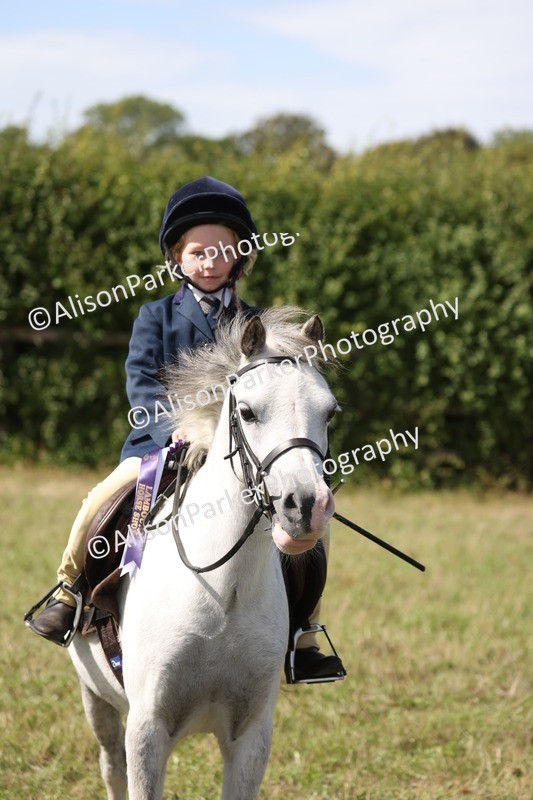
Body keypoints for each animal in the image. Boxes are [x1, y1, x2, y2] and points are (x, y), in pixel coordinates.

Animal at [68, 307, 339, 800]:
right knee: (111, 766)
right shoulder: (147, 730)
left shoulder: (251, 735)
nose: (307, 506)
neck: (223, 590)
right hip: (94, 695)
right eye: (247, 412)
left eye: (330, 412)